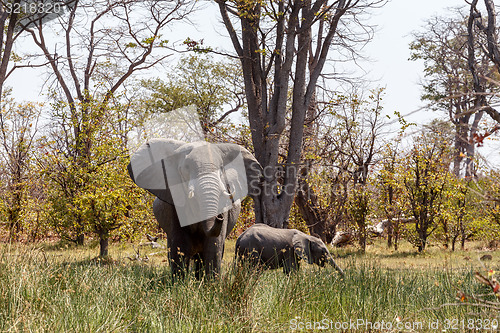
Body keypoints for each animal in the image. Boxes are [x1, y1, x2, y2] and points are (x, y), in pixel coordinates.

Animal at [128, 137, 262, 278]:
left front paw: (211, 283)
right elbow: (180, 245)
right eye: (185, 168)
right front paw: (179, 282)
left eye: (221, 168)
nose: (219, 217)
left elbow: (214, 245)